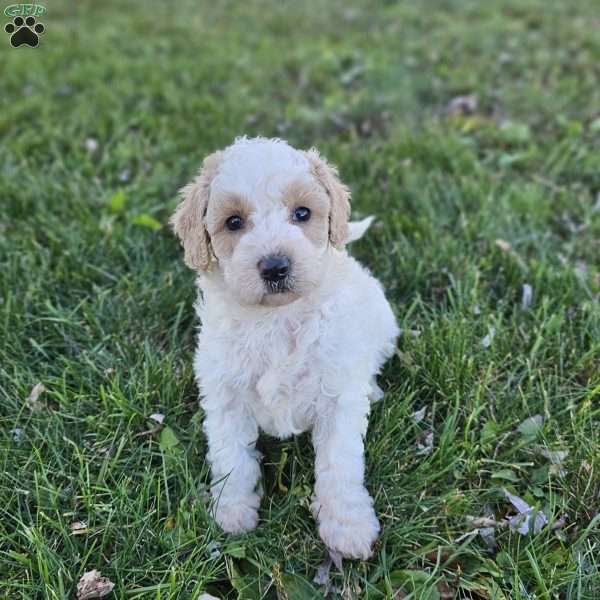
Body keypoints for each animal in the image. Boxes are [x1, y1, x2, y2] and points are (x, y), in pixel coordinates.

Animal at [171, 137, 400, 556]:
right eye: (233, 222)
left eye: (302, 213)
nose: (275, 266)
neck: (275, 318)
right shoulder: (225, 396)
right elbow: (232, 456)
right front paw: (233, 511)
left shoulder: (336, 397)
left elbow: (340, 464)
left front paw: (348, 527)